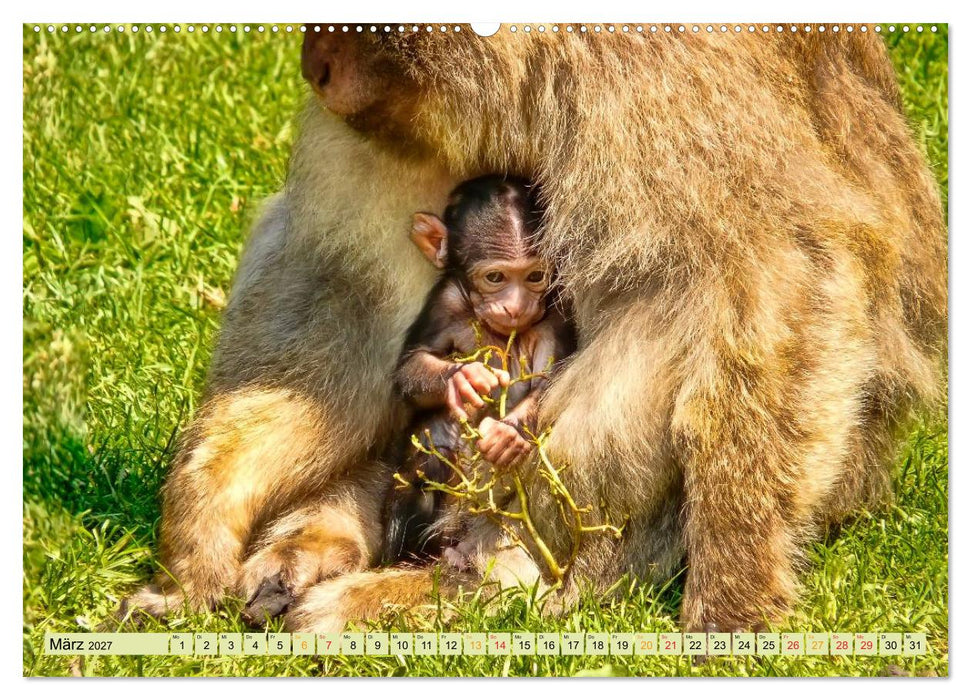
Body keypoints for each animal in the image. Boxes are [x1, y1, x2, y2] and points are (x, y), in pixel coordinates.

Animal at [382, 175, 576, 566]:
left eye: (535, 276)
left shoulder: (556, 310)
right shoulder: (445, 300)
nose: (516, 306)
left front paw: (508, 433)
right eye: (496, 277)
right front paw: (462, 380)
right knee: (428, 457)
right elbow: (412, 364)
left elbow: (551, 379)